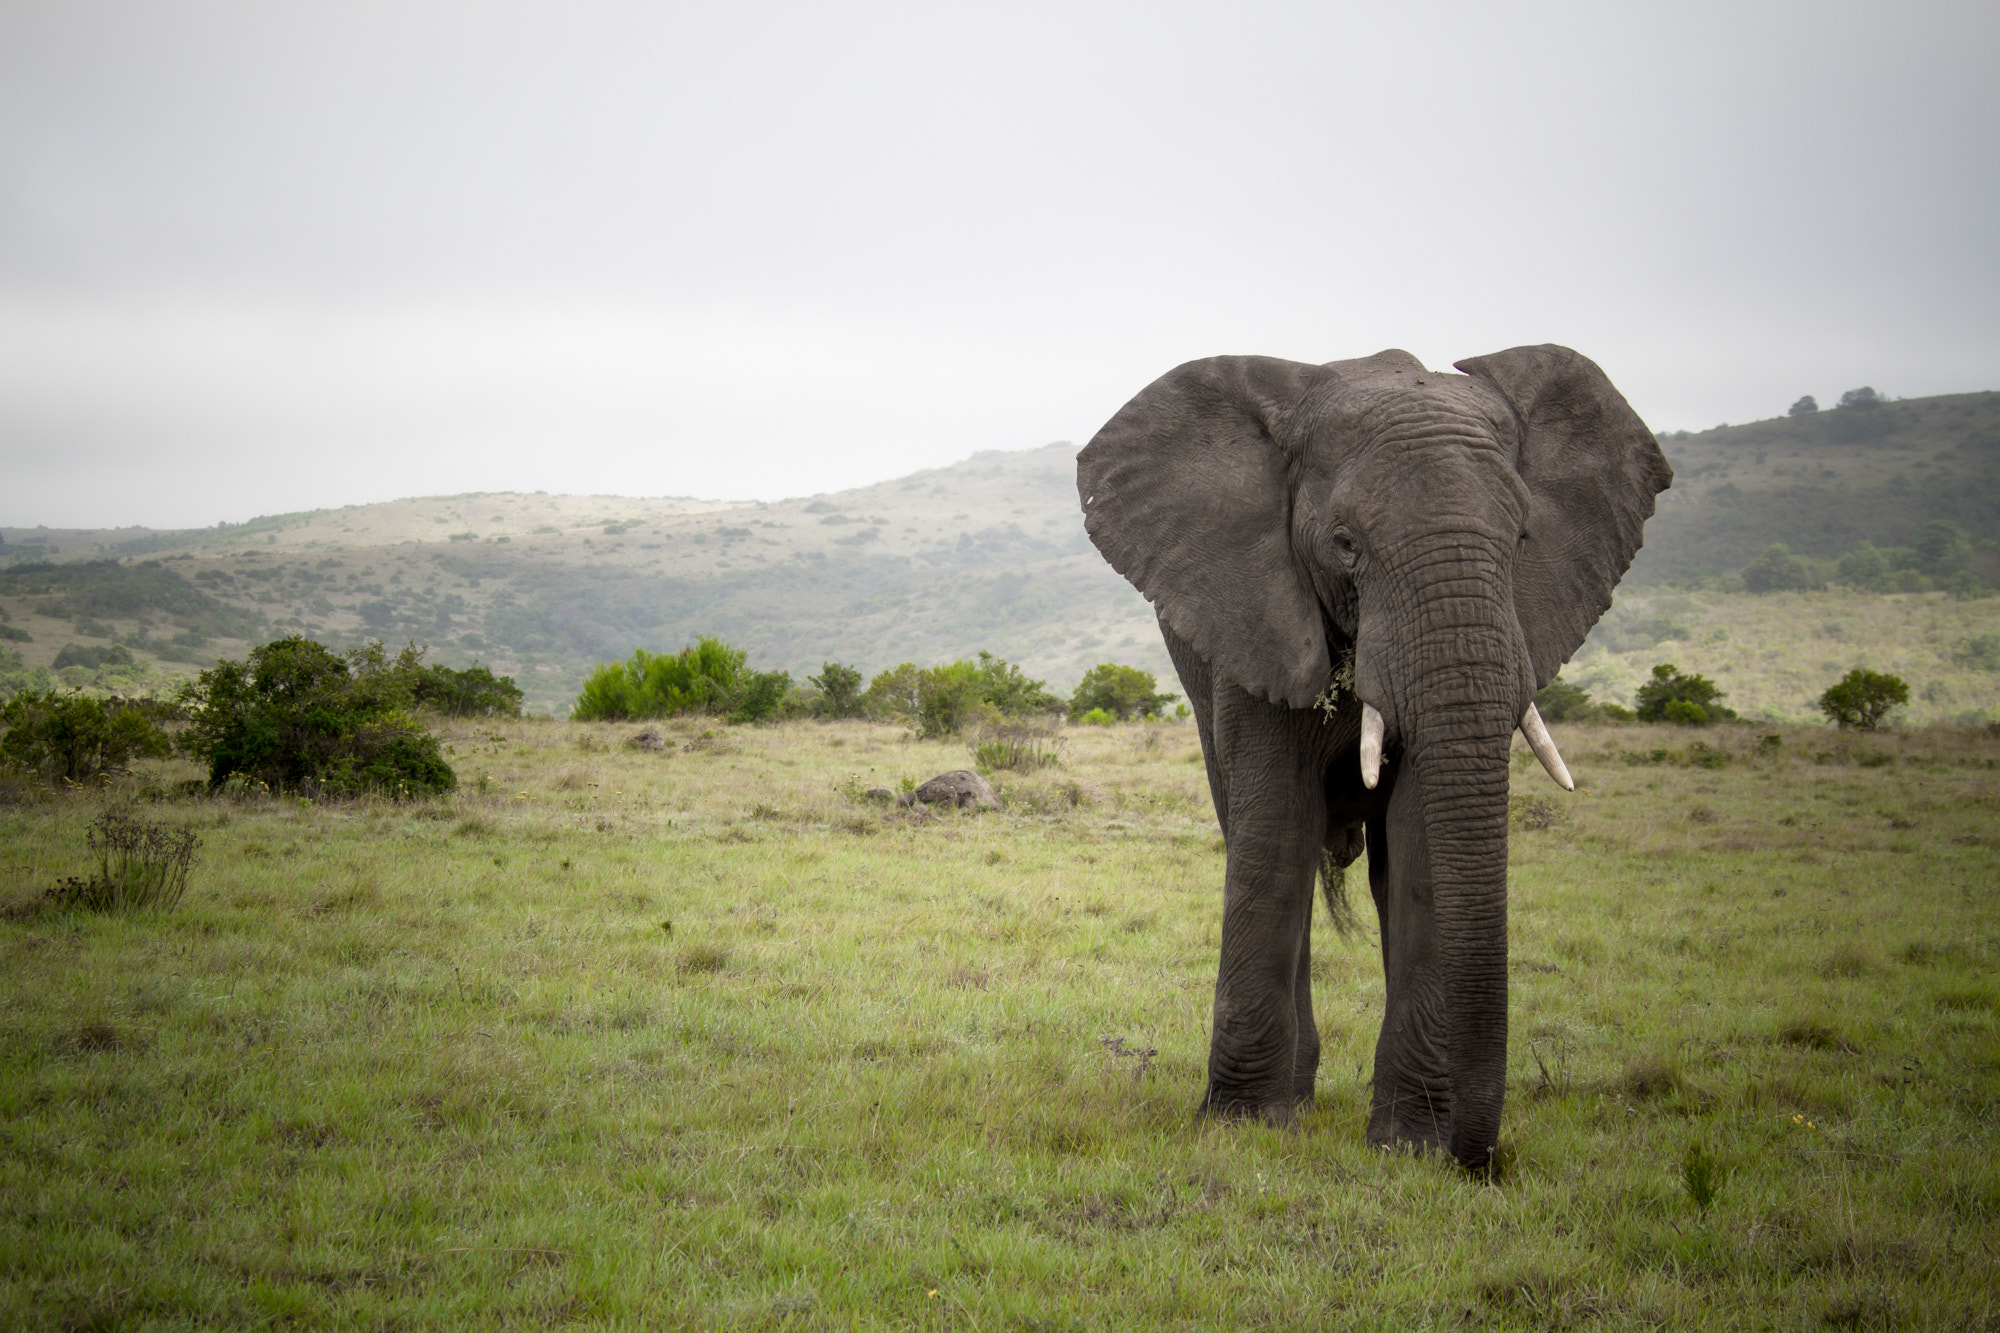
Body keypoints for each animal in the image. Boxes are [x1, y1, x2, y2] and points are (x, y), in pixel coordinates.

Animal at [1076, 345, 1670, 1168]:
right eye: (1345, 544)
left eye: (1523, 540)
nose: (1480, 1163)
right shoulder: (1256, 619)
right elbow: (1276, 833)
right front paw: (1242, 1129)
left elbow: (1420, 847)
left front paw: (1411, 1145)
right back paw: (1293, 1099)